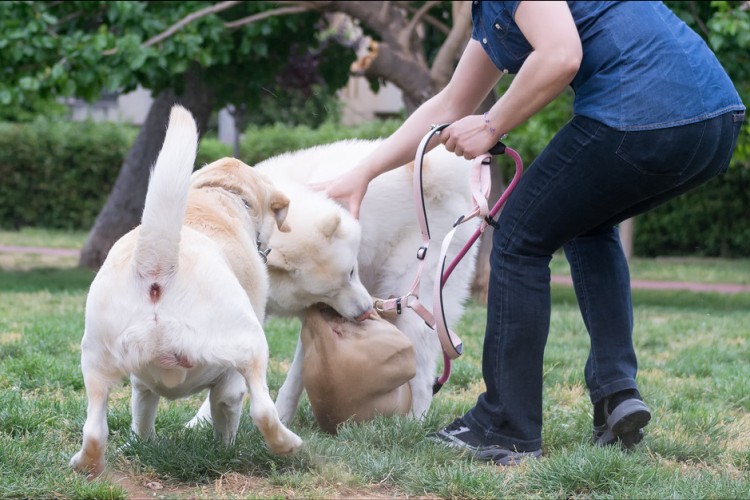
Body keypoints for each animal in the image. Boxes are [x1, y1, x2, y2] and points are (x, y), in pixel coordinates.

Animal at [70, 105, 302, 480]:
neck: (220, 194)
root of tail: (156, 263)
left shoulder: (141, 385)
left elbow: (142, 416)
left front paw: (142, 445)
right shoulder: (228, 385)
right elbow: (228, 417)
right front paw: (226, 452)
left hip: (94, 361)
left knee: (94, 431)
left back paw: (86, 463)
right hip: (250, 343)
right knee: (264, 411)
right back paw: (288, 444)